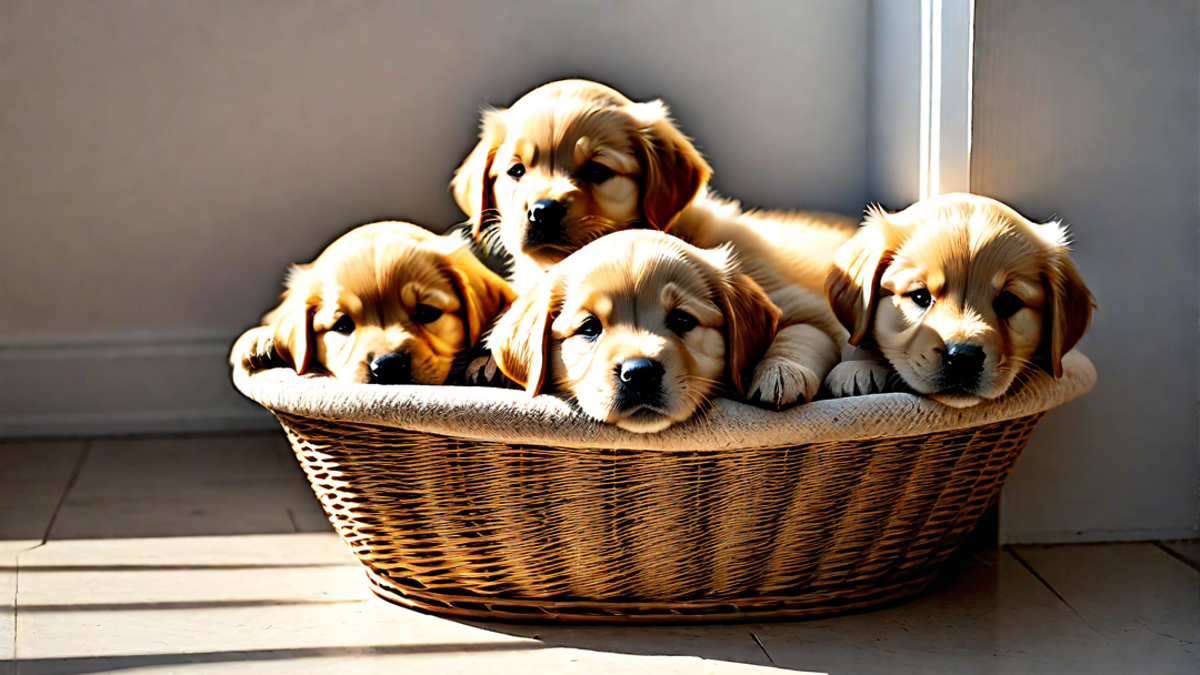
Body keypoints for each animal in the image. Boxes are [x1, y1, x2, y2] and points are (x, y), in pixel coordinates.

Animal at [451, 78, 854, 403]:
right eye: (516, 171)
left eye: (596, 170)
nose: (542, 211)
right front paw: (489, 361)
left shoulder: (807, 308)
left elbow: (802, 333)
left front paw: (779, 372)